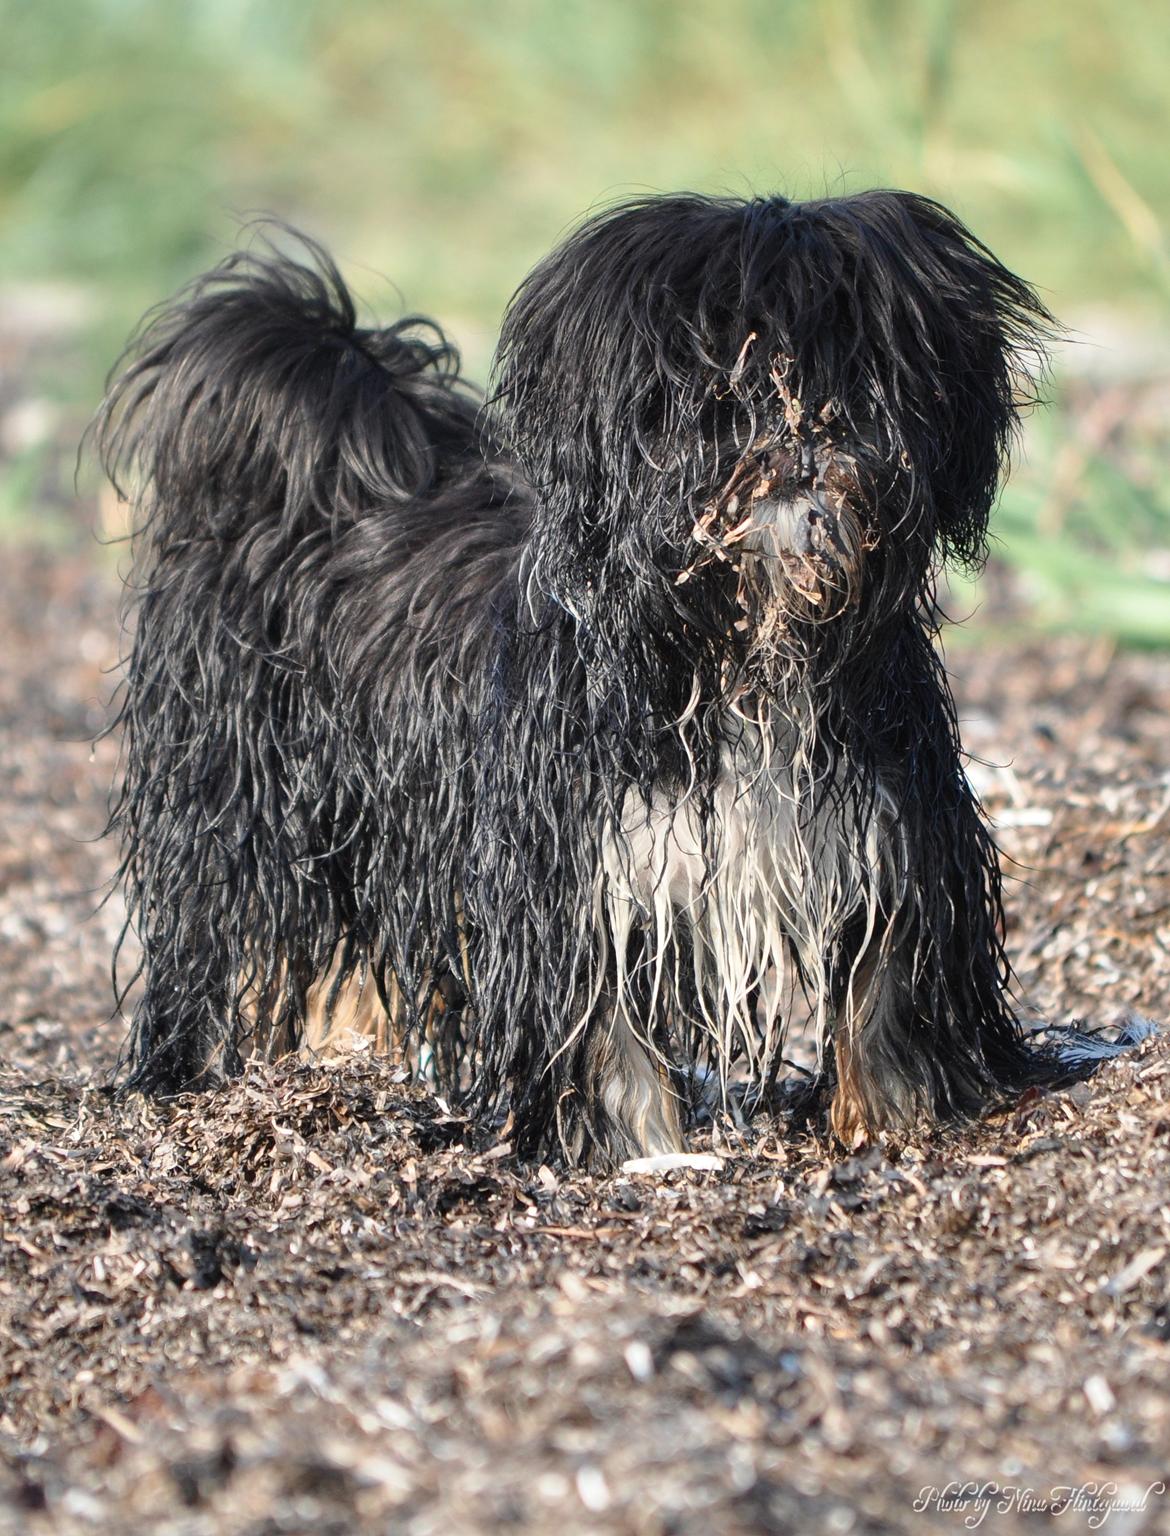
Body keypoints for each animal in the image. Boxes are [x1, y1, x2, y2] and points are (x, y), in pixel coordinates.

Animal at [97, 192, 1074, 1161]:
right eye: (722, 384)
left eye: (869, 374)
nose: (804, 430)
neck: (740, 655)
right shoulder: (571, 866)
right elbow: (604, 1035)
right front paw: (635, 1149)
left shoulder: (887, 825)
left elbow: (886, 986)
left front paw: (895, 1120)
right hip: (236, 795)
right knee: (227, 939)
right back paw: (197, 1068)